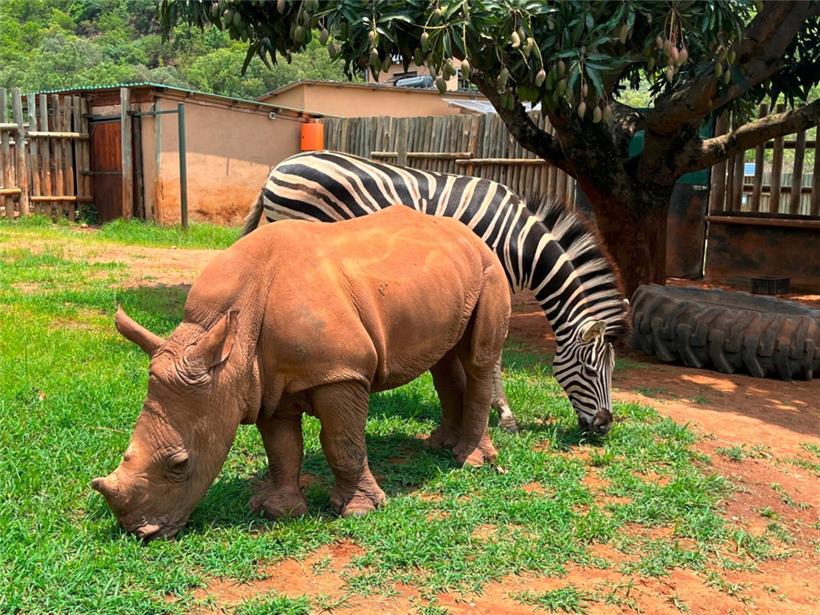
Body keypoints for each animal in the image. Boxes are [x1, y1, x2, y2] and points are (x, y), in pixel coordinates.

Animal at [243, 151, 628, 435]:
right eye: (590, 370)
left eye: (612, 369)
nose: (604, 427)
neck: (522, 247)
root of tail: (280, 166)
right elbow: (493, 353)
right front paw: (503, 415)